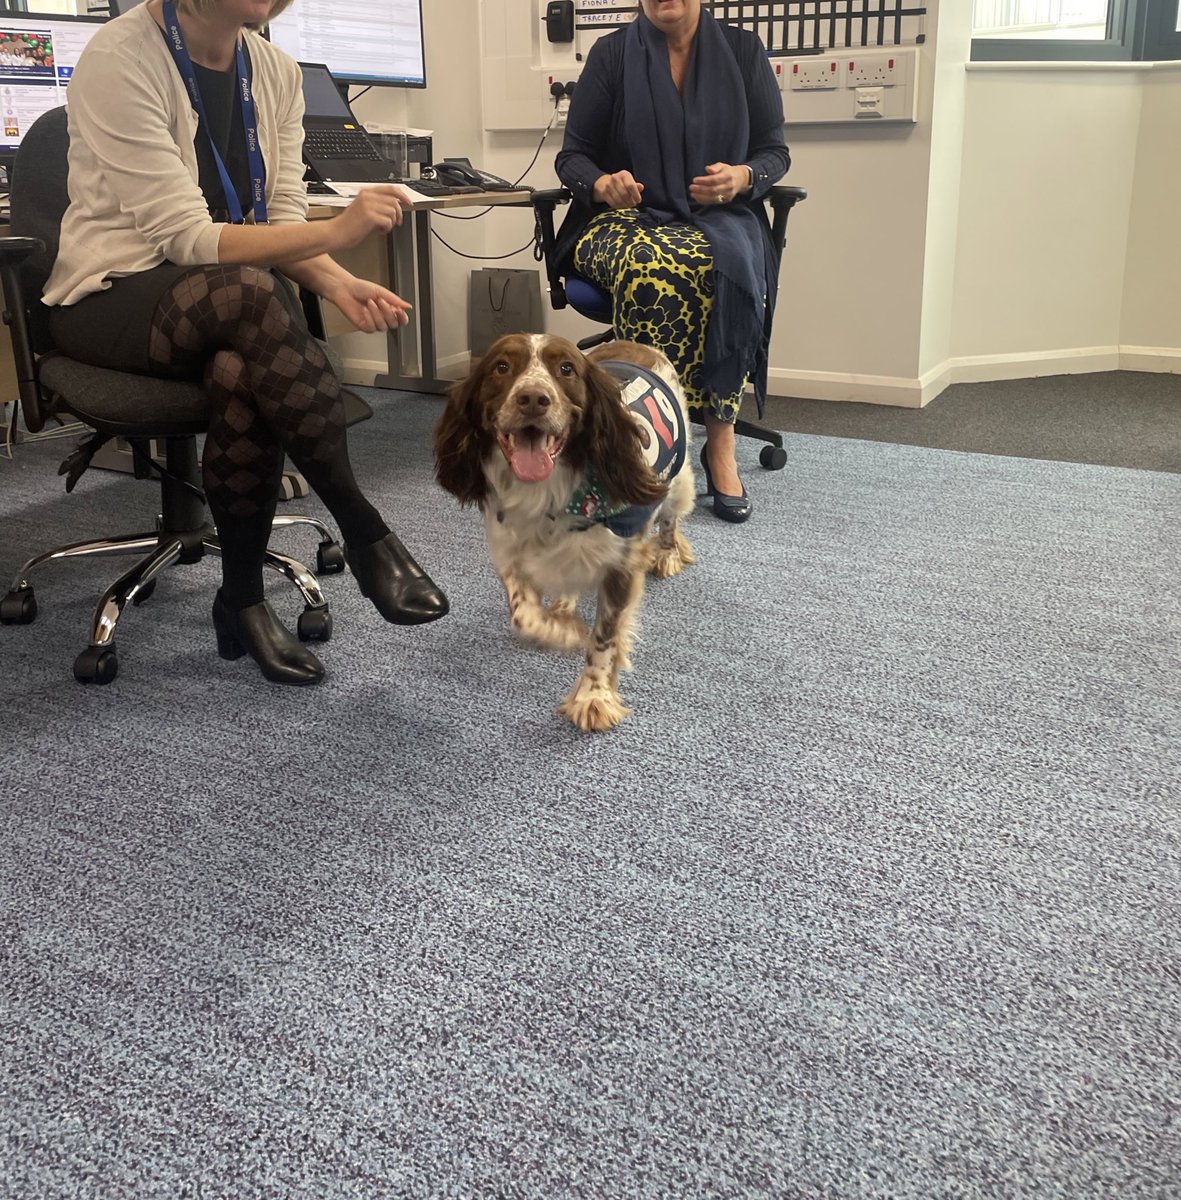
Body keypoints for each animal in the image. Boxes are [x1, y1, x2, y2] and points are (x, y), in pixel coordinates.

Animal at [436, 336, 696, 729]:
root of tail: (632, 341)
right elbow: (524, 617)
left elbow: (604, 639)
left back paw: (666, 555)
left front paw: (594, 696)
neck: (551, 494)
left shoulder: (622, 562)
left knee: (670, 519)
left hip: (676, 482)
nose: (532, 398)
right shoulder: (510, 547)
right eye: (501, 367)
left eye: (566, 369)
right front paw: (563, 630)